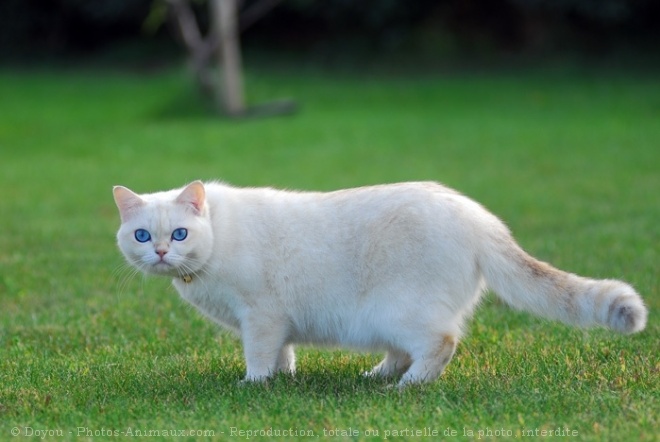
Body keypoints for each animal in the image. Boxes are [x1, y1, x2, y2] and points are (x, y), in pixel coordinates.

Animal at [112, 181, 644, 386]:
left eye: (180, 233)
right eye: (143, 235)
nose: (161, 252)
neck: (217, 239)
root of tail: (477, 215)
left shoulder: (260, 317)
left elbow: (260, 357)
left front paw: (254, 385)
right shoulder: (276, 324)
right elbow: (284, 355)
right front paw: (282, 381)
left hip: (401, 312)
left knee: (440, 345)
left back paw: (406, 388)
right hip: (388, 321)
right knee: (402, 352)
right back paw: (376, 377)